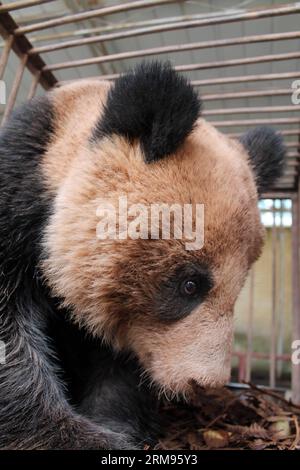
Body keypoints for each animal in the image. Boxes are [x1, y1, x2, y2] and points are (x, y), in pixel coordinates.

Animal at [0, 60, 284, 450]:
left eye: (237, 290)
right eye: (189, 285)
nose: (204, 383)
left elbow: (122, 359)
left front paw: (118, 423)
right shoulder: (17, 197)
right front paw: (76, 437)